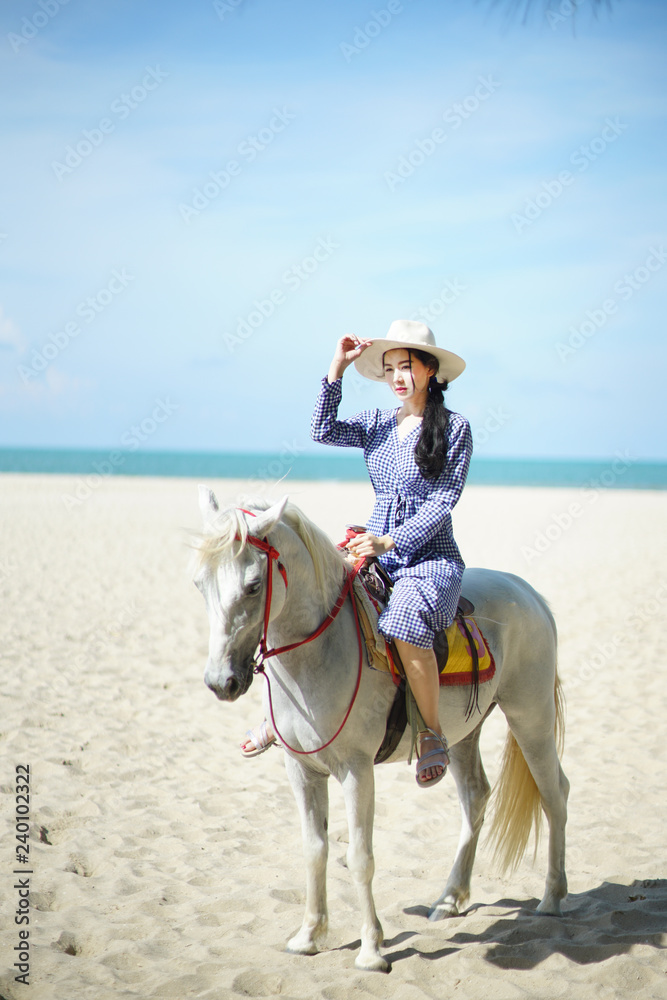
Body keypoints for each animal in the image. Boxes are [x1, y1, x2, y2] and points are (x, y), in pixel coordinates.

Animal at [194, 488, 569, 973]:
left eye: (254, 585)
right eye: (200, 584)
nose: (221, 682)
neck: (322, 651)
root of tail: (529, 593)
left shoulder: (356, 770)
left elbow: (359, 856)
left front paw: (372, 949)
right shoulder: (301, 769)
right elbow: (314, 848)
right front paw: (309, 935)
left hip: (531, 717)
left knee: (554, 795)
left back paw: (552, 897)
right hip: (464, 734)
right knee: (476, 798)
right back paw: (450, 899)